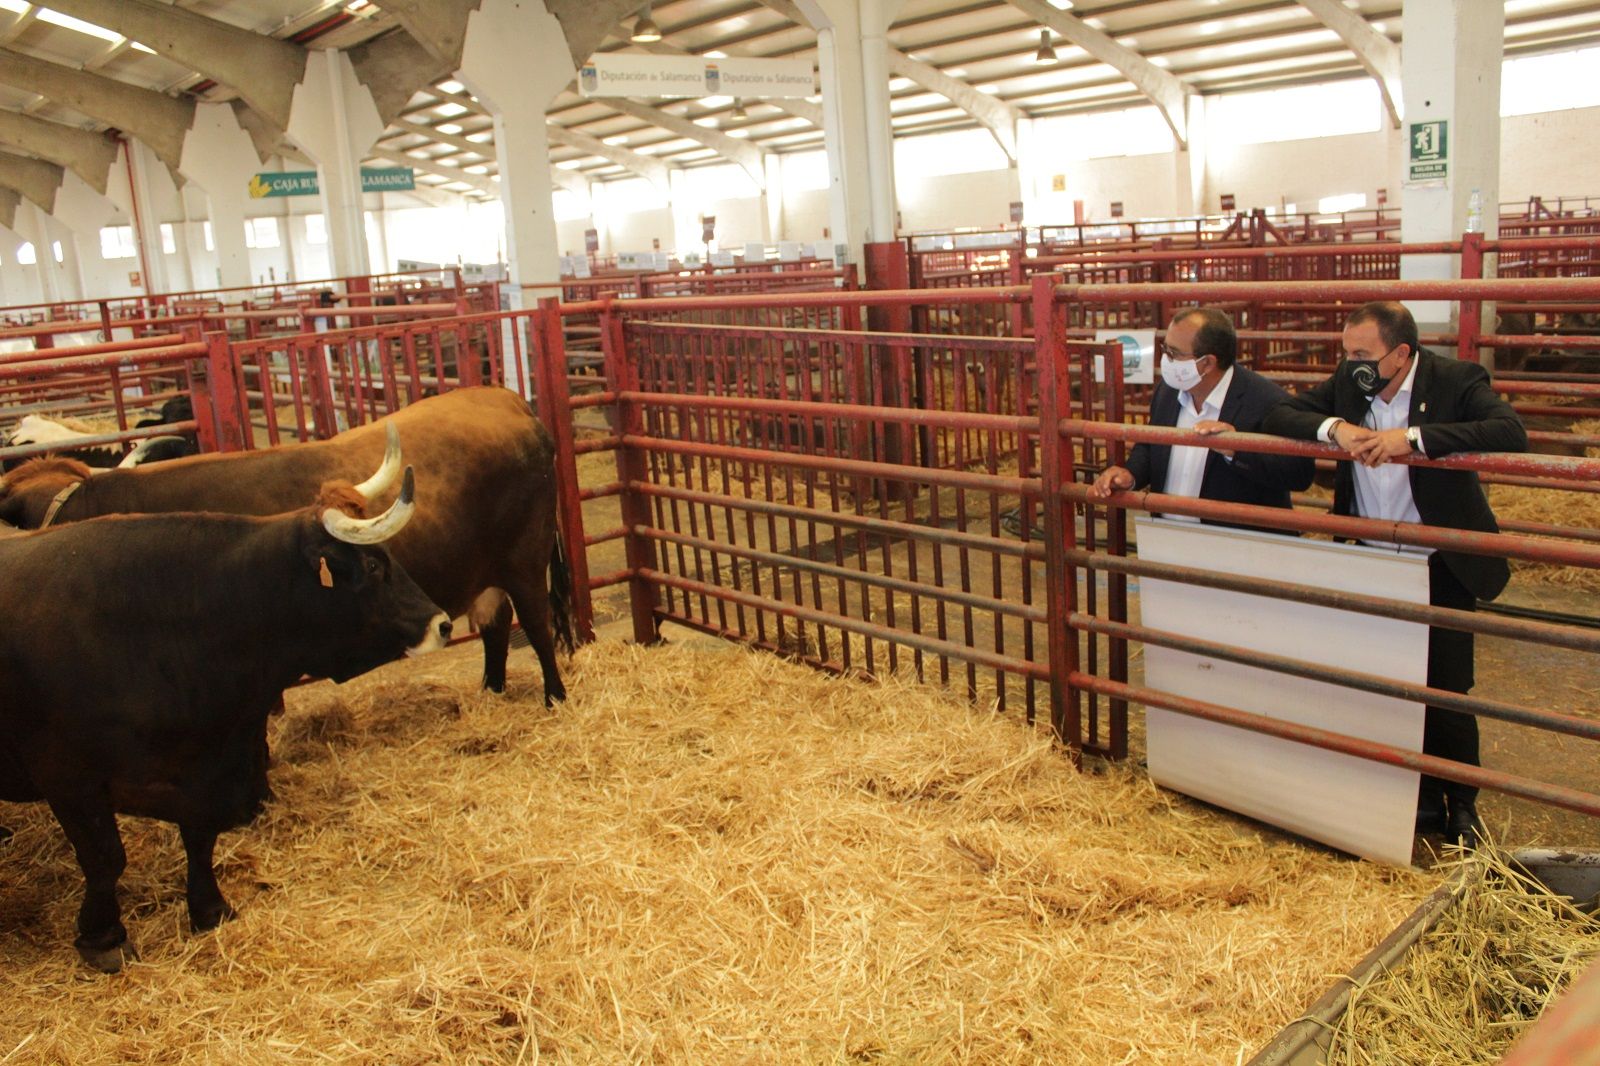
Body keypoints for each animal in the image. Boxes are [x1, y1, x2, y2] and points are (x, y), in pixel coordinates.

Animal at [0, 385, 576, 701]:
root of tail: (507, 401)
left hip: (524, 563)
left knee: (537, 627)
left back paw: (554, 698)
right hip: (486, 575)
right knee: (497, 627)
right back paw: (490, 694)